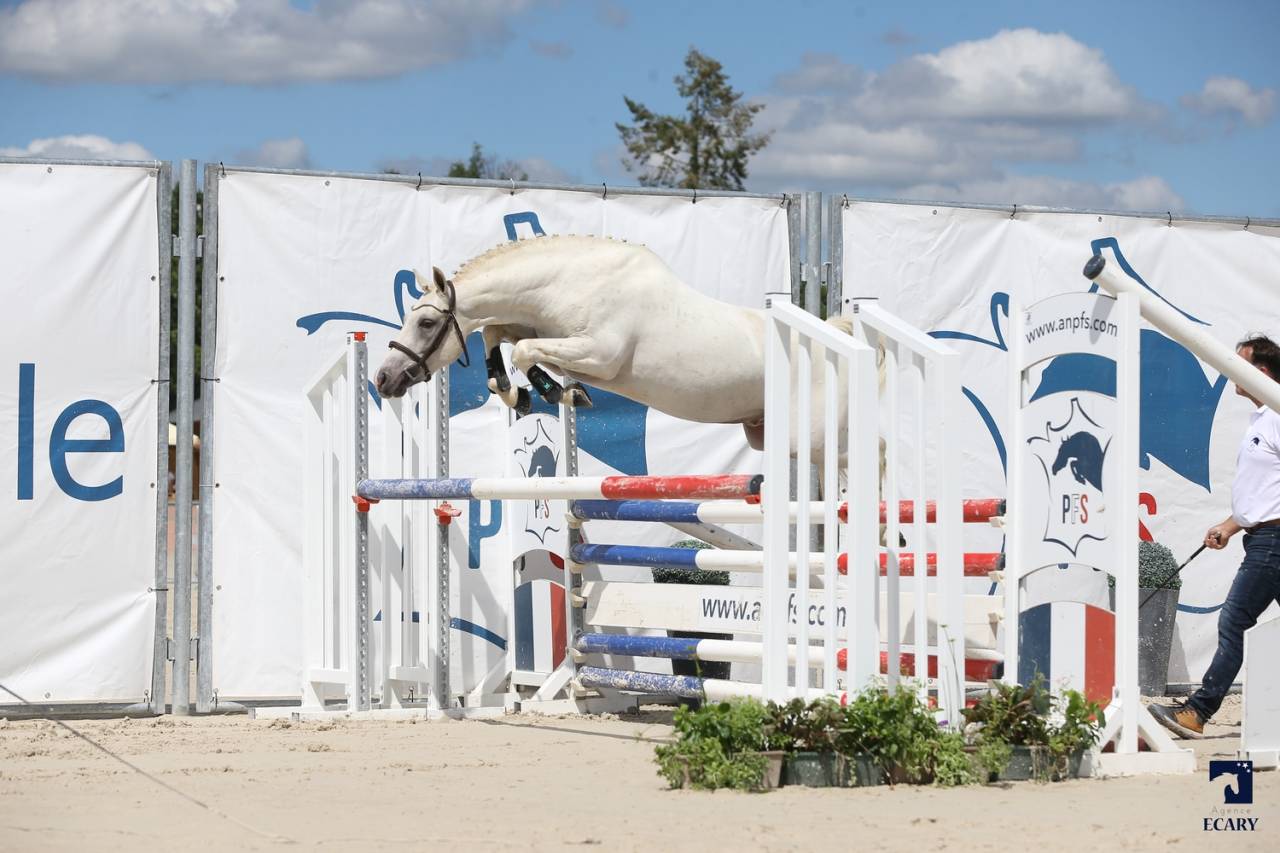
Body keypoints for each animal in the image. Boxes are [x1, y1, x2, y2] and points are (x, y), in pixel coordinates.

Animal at [373, 235, 882, 464]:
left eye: (425, 322)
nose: (384, 379)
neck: (568, 280)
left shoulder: (597, 354)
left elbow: (523, 351)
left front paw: (560, 393)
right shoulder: (540, 329)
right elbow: (500, 336)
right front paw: (519, 394)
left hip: (816, 442)